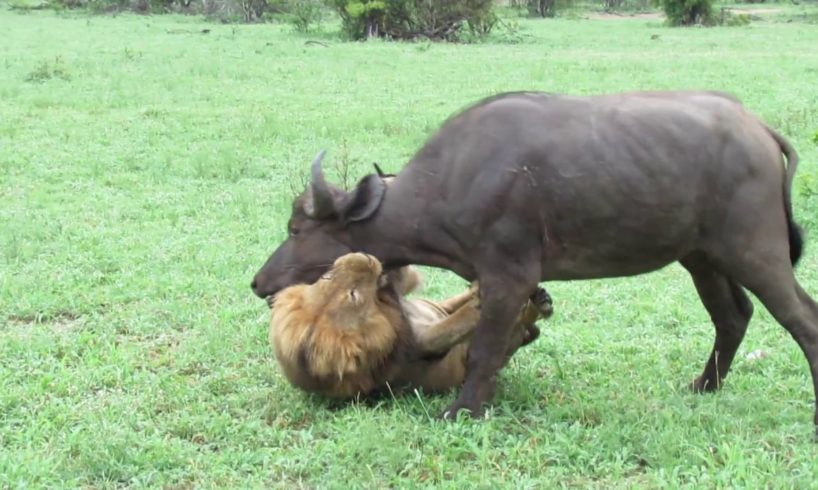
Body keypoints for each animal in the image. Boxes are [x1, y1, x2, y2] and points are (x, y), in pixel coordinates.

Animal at [268, 255, 556, 400]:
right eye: (353, 295)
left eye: (326, 277)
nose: (362, 255)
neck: (388, 308)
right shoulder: (424, 345)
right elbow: (455, 324)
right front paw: (481, 301)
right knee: (516, 331)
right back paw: (535, 306)